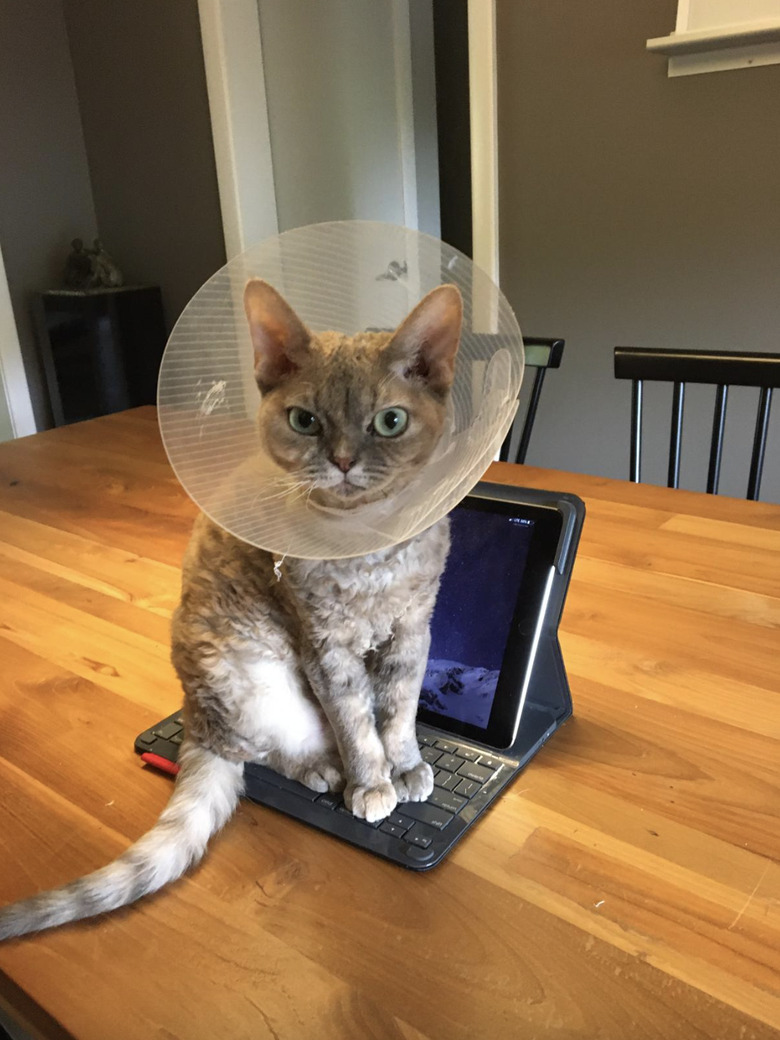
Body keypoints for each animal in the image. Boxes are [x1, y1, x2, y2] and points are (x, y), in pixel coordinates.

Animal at [0, 276, 463, 944]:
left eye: (390, 421)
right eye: (305, 420)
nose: (344, 461)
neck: (367, 546)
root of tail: (194, 721)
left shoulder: (412, 630)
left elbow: (398, 712)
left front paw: (405, 766)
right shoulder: (323, 646)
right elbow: (357, 724)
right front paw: (372, 782)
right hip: (249, 675)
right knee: (262, 752)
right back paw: (323, 769)